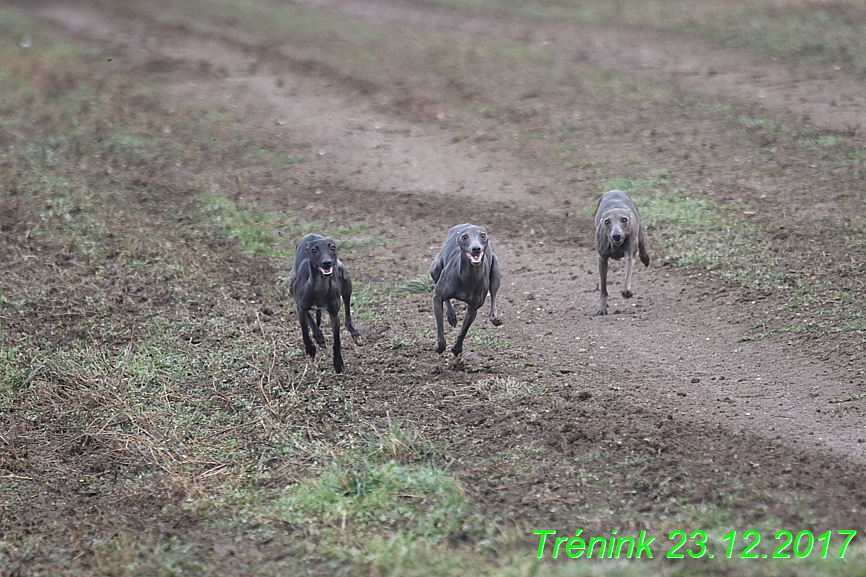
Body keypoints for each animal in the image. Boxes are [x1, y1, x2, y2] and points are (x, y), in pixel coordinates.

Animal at [288, 234, 360, 374]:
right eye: (314, 250)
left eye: (332, 247)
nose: (327, 262)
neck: (320, 287)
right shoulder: (300, 307)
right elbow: (304, 330)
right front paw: (311, 348)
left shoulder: (334, 314)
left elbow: (337, 340)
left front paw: (338, 362)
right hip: (291, 284)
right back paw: (318, 336)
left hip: (346, 281)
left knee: (347, 310)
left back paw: (354, 333)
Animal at [426, 224, 500, 356]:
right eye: (464, 237)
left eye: (483, 235)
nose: (476, 248)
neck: (467, 276)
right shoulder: (437, 298)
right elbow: (440, 327)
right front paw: (439, 347)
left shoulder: (473, 308)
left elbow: (464, 331)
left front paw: (456, 348)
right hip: (435, 267)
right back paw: (450, 315)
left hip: (496, 269)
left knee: (493, 293)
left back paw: (493, 315)